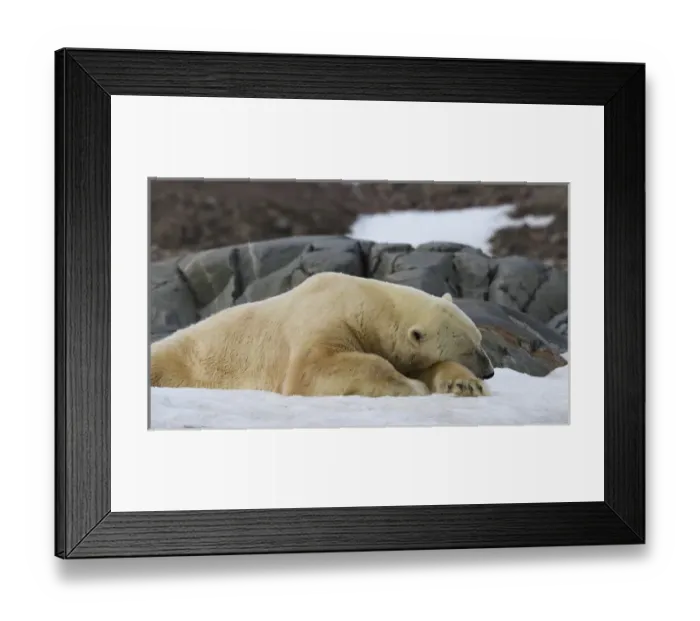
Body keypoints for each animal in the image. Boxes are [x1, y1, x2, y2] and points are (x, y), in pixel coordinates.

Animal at [150, 271, 495, 398]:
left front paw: (465, 384)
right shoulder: (322, 320)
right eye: (469, 348)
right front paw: (411, 385)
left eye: (480, 341)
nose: (490, 371)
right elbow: (311, 370)